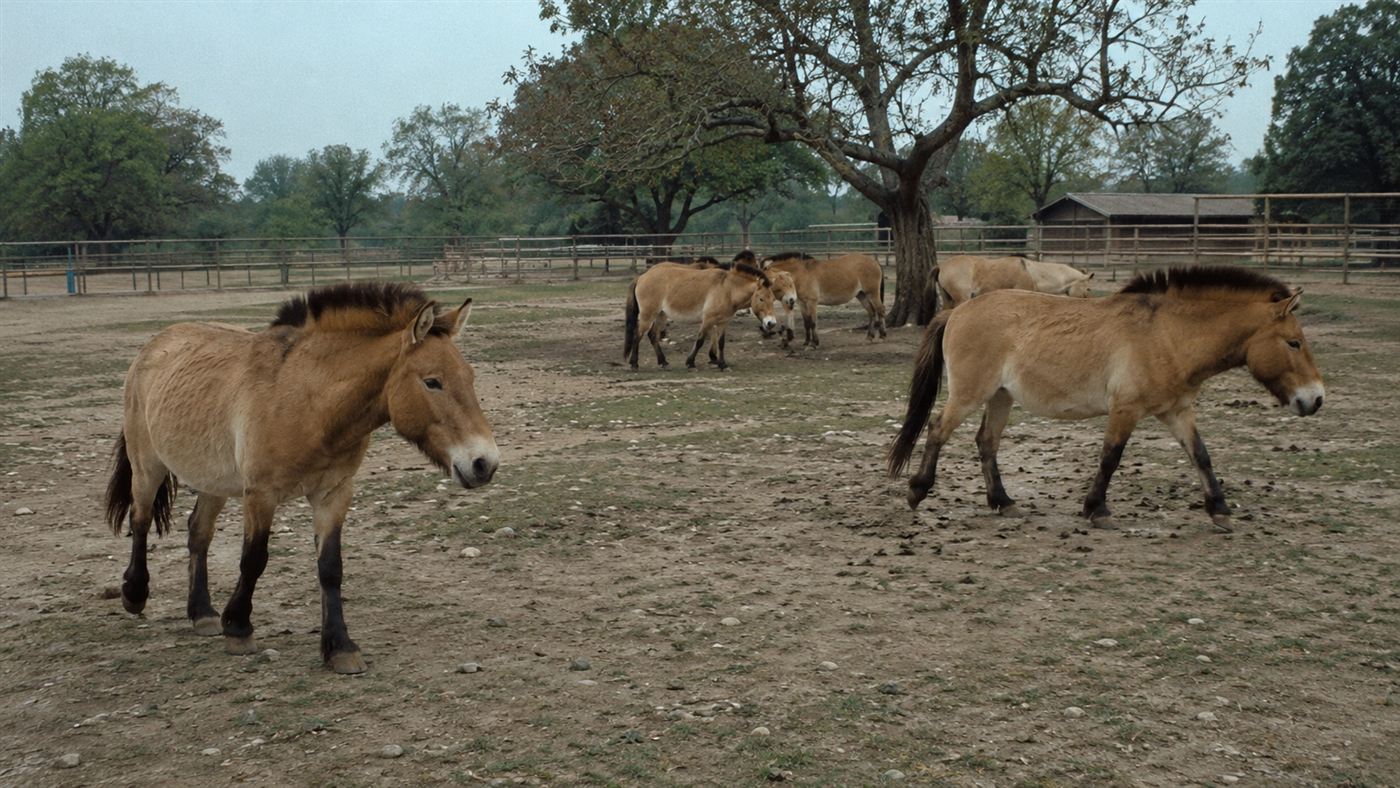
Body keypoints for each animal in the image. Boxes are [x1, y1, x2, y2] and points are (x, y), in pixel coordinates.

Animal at [104, 282, 500, 674]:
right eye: (432, 382)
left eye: (470, 378)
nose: (485, 463)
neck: (309, 402)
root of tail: (155, 345)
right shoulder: (260, 494)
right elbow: (254, 559)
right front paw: (239, 627)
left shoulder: (333, 493)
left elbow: (330, 567)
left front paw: (339, 647)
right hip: (148, 465)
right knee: (140, 520)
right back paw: (134, 594)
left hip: (212, 480)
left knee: (198, 533)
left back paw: (202, 613)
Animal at [624, 261, 779, 370]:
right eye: (761, 299)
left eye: (773, 299)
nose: (771, 323)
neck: (727, 289)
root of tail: (642, 277)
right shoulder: (707, 320)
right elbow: (700, 341)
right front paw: (690, 362)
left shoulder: (723, 322)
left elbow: (721, 343)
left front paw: (722, 364)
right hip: (647, 316)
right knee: (638, 335)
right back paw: (634, 363)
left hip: (660, 316)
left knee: (652, 335)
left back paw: (663, 361)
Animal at [888, 266, 1324, 532]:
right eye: (1293, 342)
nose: (1316, 399)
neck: (1166, 335)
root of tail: (958, 312)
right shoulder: (1125, 409)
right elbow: (1110, 457)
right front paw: (1096, 509)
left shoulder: (1178, 411)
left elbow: (1201, 456)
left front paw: (1219, 510)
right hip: (970, 393)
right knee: (938, 429)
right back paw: (918, 490)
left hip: (1000, 397)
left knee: (986, 442)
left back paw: (1003, 501)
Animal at [934, 255, 1094, 307]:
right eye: (1088, 289)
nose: (1088, 301)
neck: (1031, 272)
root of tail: (942, 266)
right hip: (962, 299)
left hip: (948, 300)